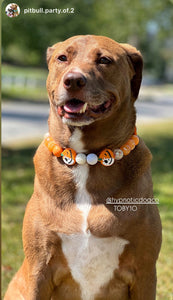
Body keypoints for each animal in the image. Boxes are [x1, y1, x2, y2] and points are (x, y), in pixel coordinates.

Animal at [4, 35, 162, 300]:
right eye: (62, 58)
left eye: (104, 60)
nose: (73, 80)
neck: (87, 159)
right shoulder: (39, 267)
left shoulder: (144, 270)